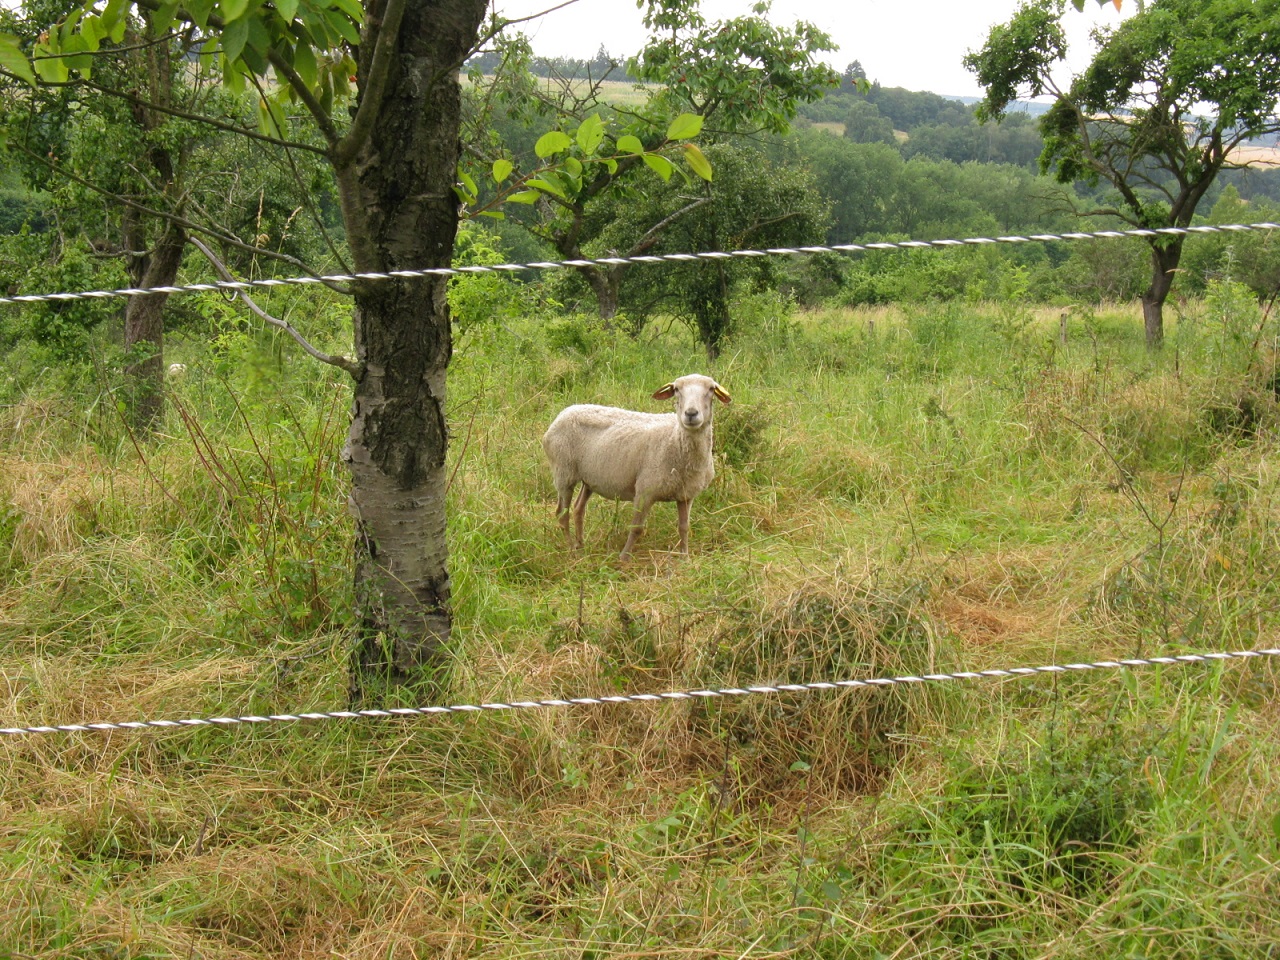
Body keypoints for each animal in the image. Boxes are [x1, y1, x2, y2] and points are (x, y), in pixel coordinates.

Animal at [540, 373, 732, 560]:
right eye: (677, 389)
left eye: (711, 389)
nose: (691, 413)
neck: (674, 439)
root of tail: (564, 412)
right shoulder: (644, 492)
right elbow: (637, 528)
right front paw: (623, 558)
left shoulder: (686, 494)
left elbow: (684, 527)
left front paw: (685, 558)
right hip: (563, 473)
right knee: (561, 514)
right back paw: (571, 550)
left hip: (588, 479)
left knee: (578, 509)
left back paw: (581, 546)